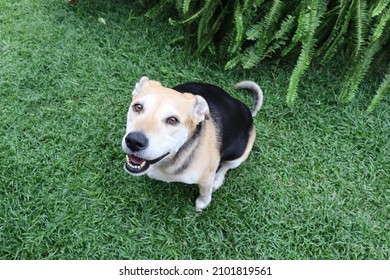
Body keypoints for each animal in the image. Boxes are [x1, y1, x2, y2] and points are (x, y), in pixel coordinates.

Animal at [120, 76, 264, 210]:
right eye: (138, 107)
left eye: (173, 120)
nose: (134, 141)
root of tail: (248, 112)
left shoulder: (206, 177)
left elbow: (205, 192)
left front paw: (203, 203)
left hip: (238, 156)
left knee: (226, 167)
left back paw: (217, 180)